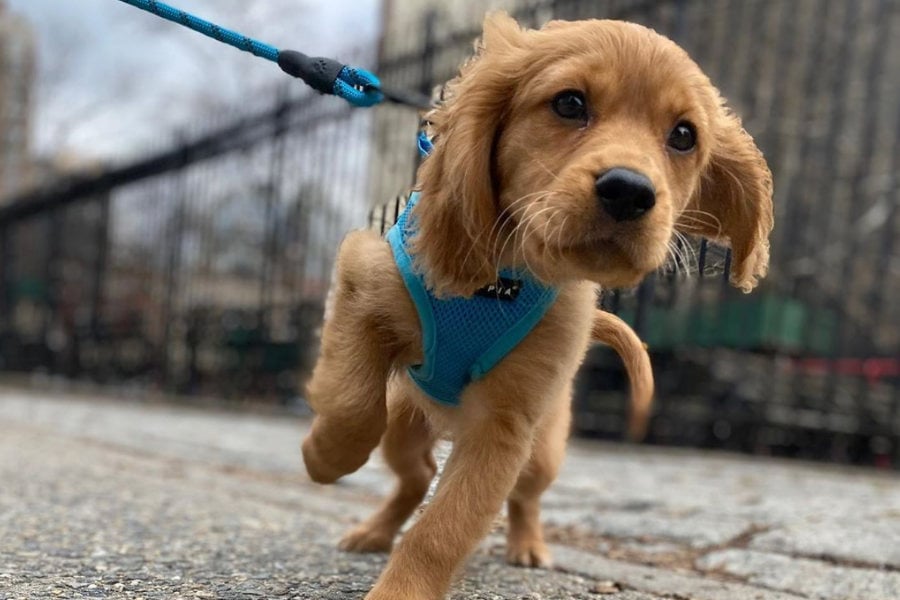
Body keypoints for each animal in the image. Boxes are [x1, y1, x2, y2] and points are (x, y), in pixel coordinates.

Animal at [302, 14, 772, 600]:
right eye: (569, 104)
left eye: (684, 136)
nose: (629, 191)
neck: (505, 277)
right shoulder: (361, 280)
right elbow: (351, 403)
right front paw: (324, 457)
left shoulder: (504, 426)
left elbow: (443, 529)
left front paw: (401, 591)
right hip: (404, 426)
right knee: (416, 474)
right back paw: (372, 531)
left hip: (543, 448)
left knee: (519, 495)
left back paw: (527, 546)